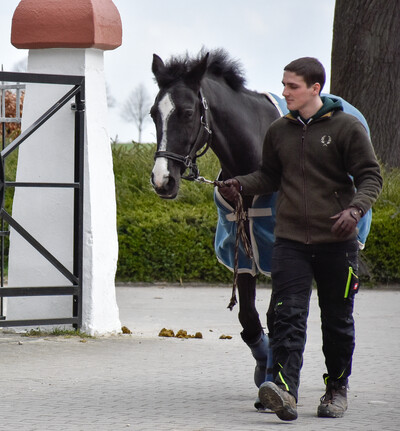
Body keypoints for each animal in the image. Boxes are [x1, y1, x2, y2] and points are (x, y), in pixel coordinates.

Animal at [149, 48, 278, 408]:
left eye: (188, 112)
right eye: (153, 113)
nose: (162, 180)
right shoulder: (243, 250)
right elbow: (248, 317)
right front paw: (263, 366)